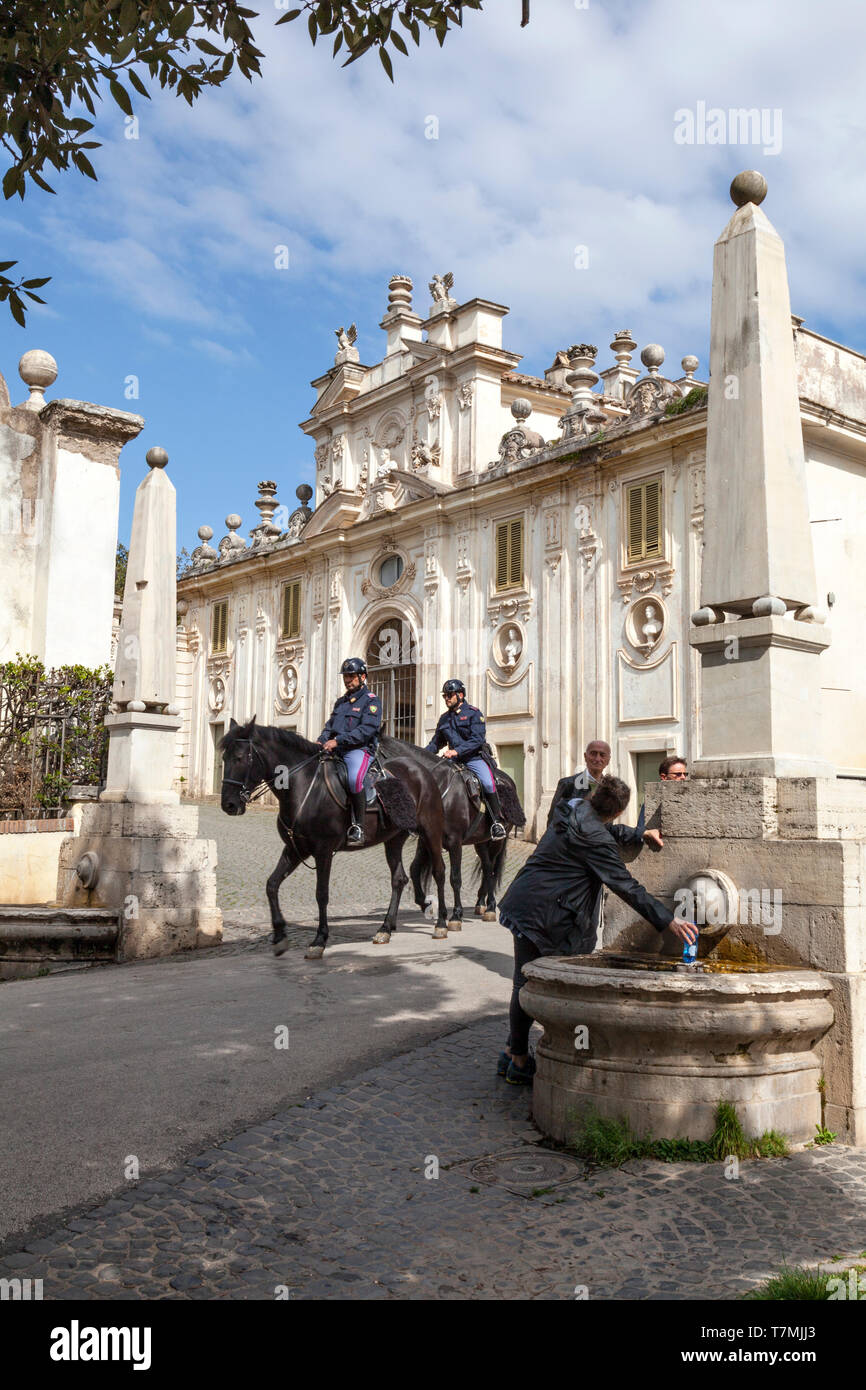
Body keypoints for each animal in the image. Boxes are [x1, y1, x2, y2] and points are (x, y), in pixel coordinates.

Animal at [216, 717, 450, 956]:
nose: (229, 805)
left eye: (240, 758)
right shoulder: (295, 850)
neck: (304, 786)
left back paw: (441, 924)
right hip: (393, 838)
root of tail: (423, 771)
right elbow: (271, 884)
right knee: (399, 879)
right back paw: (385, 929)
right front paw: (280, 935)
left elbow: (321, 894)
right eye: (224, 757)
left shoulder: (323, 851)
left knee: (439, 872)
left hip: (431, 831)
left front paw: (319, 939)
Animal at [378, 739, 528, 934]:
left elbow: (455, 878)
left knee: (493, 869)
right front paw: (424, 903)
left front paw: (456, 915)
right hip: (480, 841)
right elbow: (415, 869)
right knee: (487, 867)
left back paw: (490, 907)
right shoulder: (427, 840)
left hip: (497, 841)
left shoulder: (454, 841)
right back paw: (481, 904)